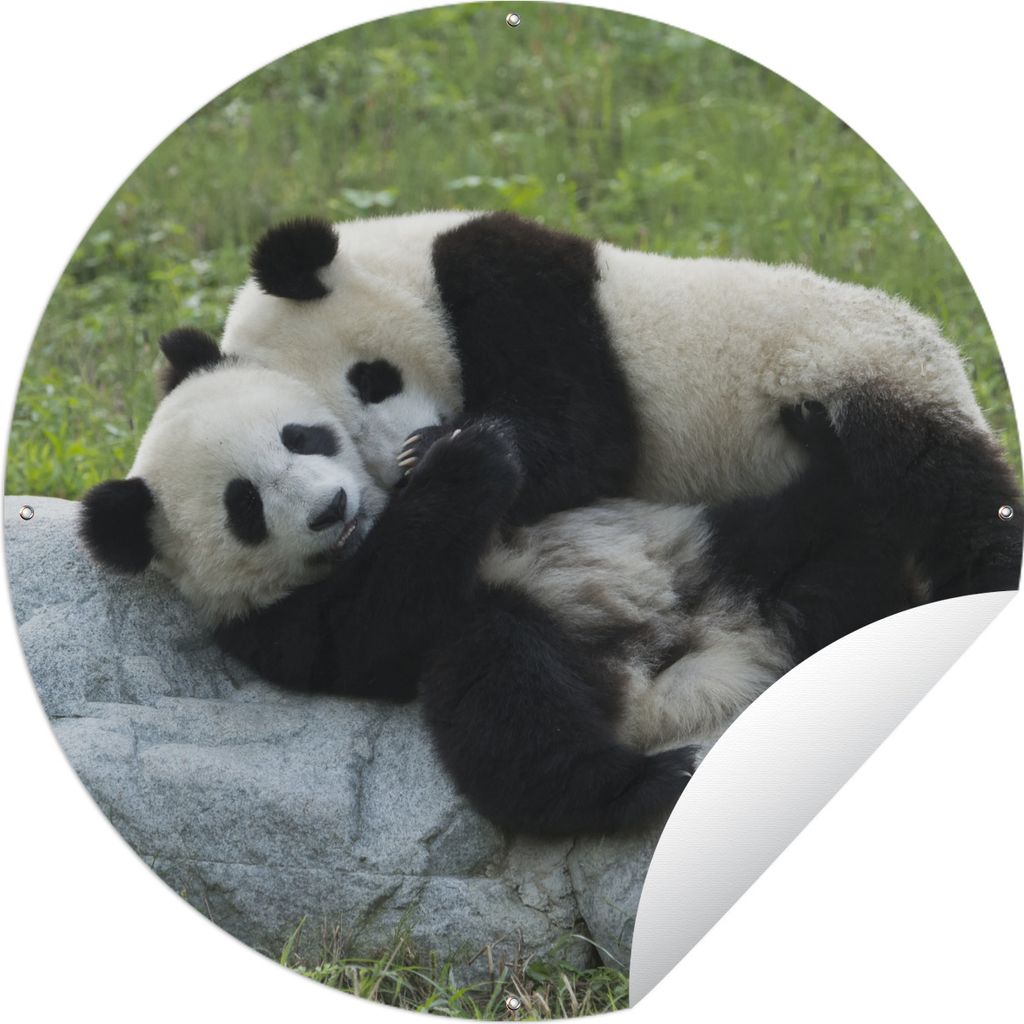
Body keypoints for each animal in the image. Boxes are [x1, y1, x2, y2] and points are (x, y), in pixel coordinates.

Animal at [80, 330, 923, 835]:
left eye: (302, 437)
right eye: (246, 506)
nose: (330, 509)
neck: (373, 530)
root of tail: (712, 665)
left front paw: (448, 442)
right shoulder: (276, 624)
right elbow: (366, 631)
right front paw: (469, 457)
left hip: (705, 548)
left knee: (820, 543)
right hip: (545, 641)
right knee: (511, 696)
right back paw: (644, 782)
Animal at [219, 210, 1023, 599]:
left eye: (371, 378)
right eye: (333, 441)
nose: (404, 456)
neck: (410, 261)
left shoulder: (518, 285)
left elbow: (589, 435)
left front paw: (443, 451)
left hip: (863, 377)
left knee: (954, 495)